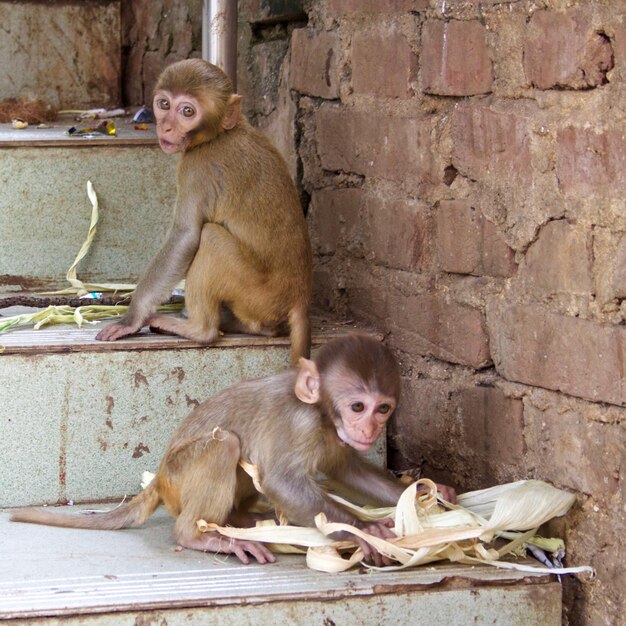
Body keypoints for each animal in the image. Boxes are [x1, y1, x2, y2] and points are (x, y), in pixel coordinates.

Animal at [11, 334, 454, 564]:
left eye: (384, 408)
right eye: (358, 407)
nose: (369, 427)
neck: (324, 415)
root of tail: (160, 478)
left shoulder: (334, 438)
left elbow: (348, 470)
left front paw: (430, 494)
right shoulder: (302, 425)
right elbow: (280, 481)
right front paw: (364, 530)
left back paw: (239, 518)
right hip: (180, 475)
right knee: (226, 444)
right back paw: (198, 535)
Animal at [96, 61, 310, 364]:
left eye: (187, 111)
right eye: (164, 104)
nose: (166, 126)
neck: (223, 132)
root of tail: (299, 297)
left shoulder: (197, 167)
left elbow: (186, 236)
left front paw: (131, 319)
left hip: (258, 295)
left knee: (210, 238)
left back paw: (200, 329)